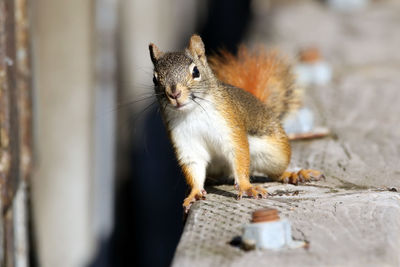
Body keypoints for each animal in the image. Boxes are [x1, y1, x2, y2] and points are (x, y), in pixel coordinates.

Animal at [148, 34, 324, 213]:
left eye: (196, 71)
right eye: (155, 79)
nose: (174, 93)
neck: (191, 113)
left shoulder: (231, 127)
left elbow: (239, 155)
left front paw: (247, 187)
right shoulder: (185, 142)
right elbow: (194, 166)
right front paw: (195, 193)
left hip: (275, 154)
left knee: (276, 172)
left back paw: (294, 174)